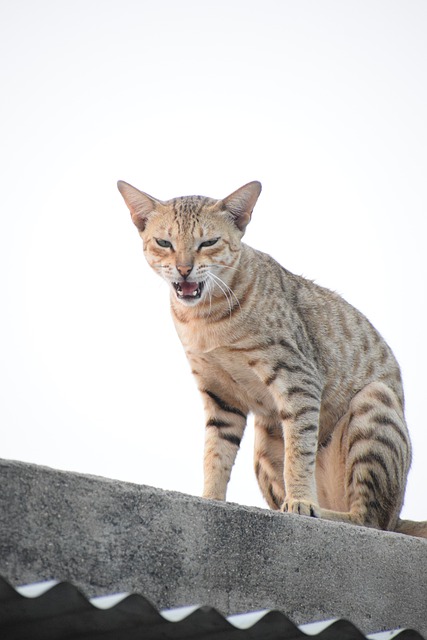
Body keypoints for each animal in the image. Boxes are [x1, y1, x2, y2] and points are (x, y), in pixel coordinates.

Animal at [118, 180, 427, 540]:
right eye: (164, 242)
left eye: (208, 242)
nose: (183, 269)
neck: (204, 320)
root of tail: (400, 515)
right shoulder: (219, 395)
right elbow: (215, 453)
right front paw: (210, 498)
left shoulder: (298, 378)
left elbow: (299, 452)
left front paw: (301, 502)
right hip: (264, 438)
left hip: (375, 405)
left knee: (370, 518)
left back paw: (321, 511)